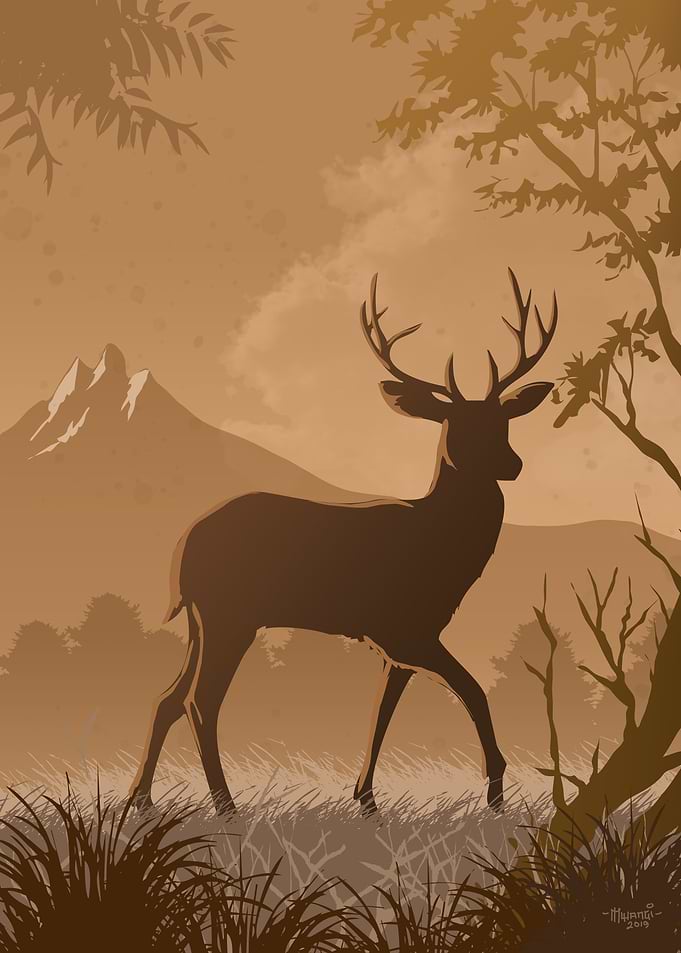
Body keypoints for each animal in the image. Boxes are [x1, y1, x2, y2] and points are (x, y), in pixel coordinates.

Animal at [130, 268, 558, 817]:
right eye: (456, 424)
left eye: (504, 422)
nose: (513, 464)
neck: (441, 543)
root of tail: (183, 547)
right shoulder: (403, 628)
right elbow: (473, 692)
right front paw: (496, 794)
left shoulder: (402, 639)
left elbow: (383, 711)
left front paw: (367, 800)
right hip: (230, 614)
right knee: (199, 702)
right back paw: (226, 807)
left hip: (200, 619)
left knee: (166, 697)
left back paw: (140, 800)